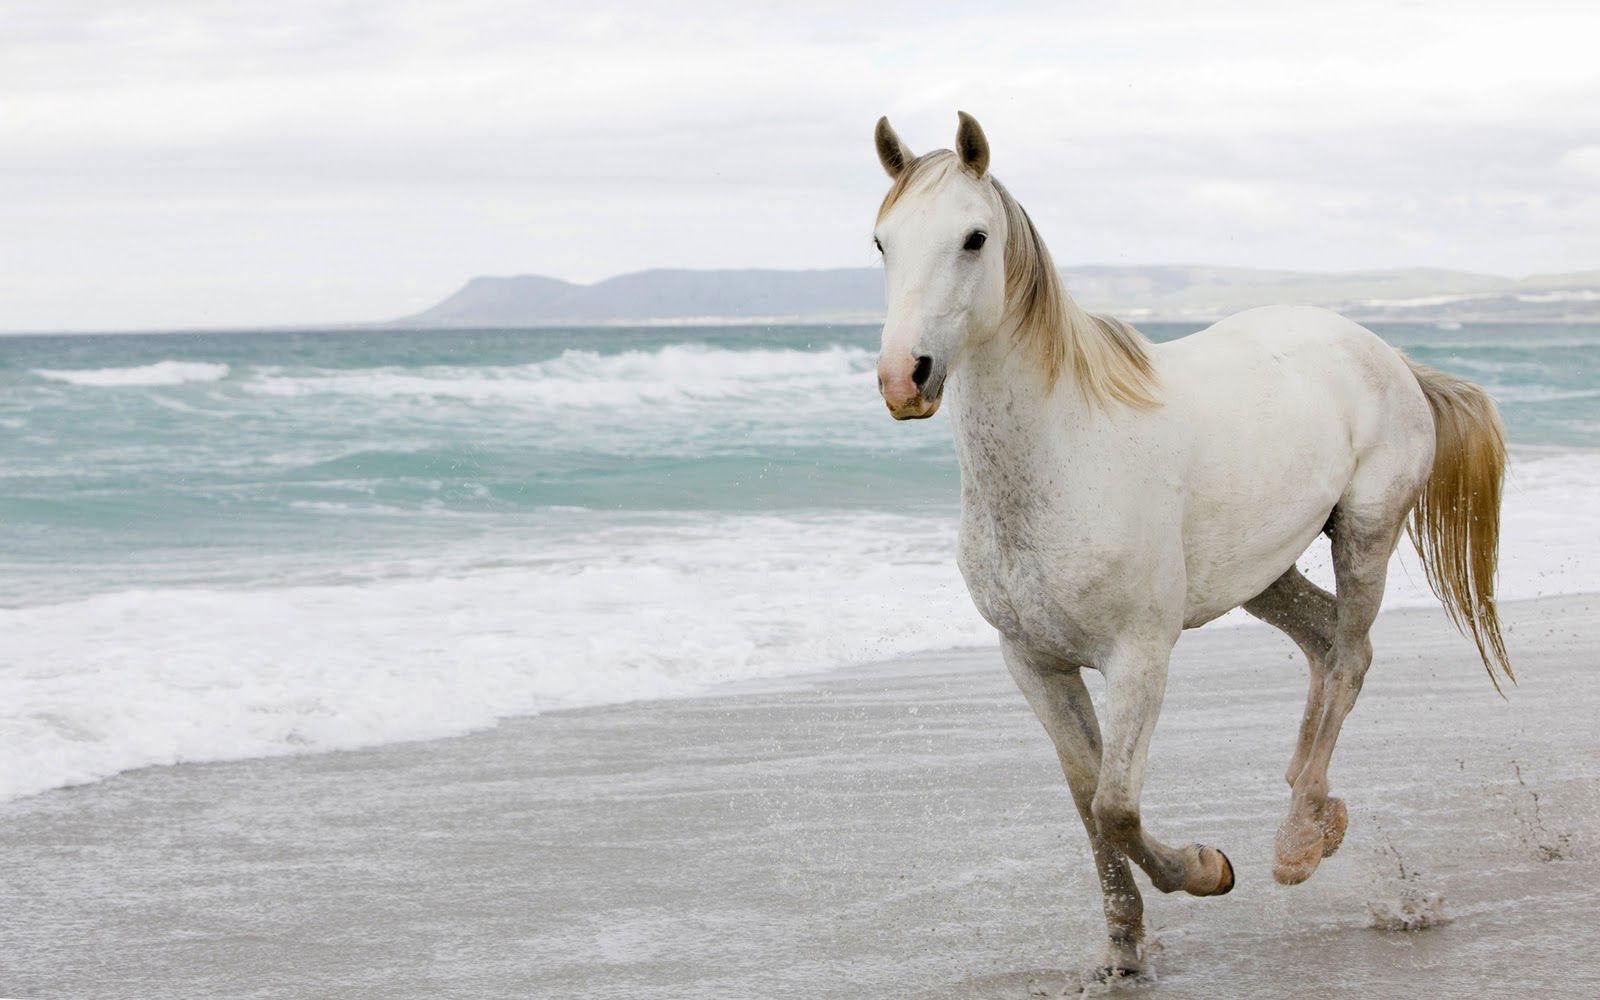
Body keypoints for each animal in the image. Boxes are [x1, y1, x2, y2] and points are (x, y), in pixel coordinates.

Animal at [868, 111, 1511, 980]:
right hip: (1264, 573)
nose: (905, 377)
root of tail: (1385, 353)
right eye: (882, 241)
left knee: (1350, 655)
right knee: (1325, 643)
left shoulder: (1140, 655)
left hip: (1366, 534)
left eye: (973, 237)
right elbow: (1087, 802)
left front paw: (1209, 870)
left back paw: (1297, 841)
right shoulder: (1034, 662)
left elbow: (1115, 804)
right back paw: (1313, 805)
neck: (1065, 453)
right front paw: (1122, 950)